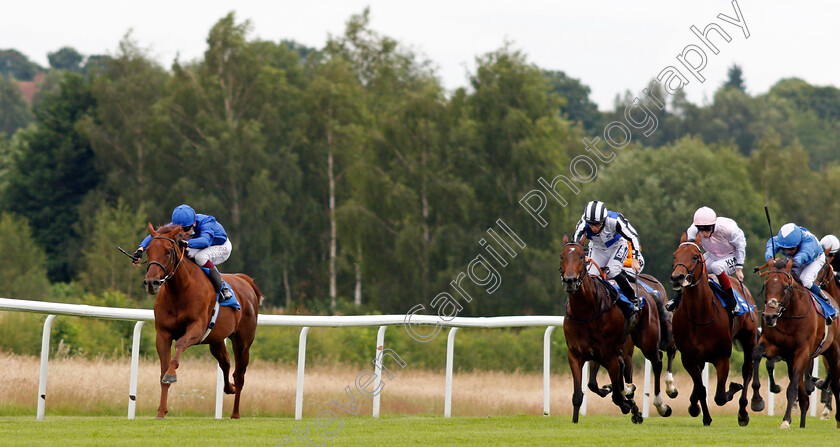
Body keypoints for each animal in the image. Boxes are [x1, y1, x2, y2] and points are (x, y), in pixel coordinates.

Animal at [142, 224, 262, 420]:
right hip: (216, 339)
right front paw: (161, 411)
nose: (151, 282)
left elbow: (180, 345)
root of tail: (245, 280)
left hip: (243, 341)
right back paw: (229, 388)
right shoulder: (163, 334)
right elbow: (162, 373)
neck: (180, 291)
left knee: (240, 374)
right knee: (225, 362)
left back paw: (235, 413)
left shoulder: (196, 329)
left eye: (167, 251)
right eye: (148, 251)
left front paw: (171, 375)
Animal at [560, 236, 672, 426]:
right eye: (562, 256)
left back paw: (661, 405)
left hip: (647, 340)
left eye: (582, 257)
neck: (586, 311)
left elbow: (618, 395)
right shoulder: (576, 354)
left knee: (657, 361)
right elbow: (581, 392)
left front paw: (629, 404)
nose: (570, 281)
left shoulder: (610, 355)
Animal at [668, 234, 760, 428]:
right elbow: (701, 389)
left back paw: (743, 412)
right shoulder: (688, 358)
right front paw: (704, 415)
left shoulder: (722, 357)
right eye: (674, 255)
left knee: (747, 370)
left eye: (695, 257)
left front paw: (734, 387)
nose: (677, 277)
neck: (700, 316)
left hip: (749, 338)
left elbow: (720, 396)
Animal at [752, 258, 840, 428]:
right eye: (765, 285)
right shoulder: (773, 346)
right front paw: (757, 400)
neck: (790, 316)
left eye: (786, 286)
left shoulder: (802, 352)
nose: (769, 316)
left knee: (835, 381)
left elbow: (792, 387)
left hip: (834, 352)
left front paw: (786, 420)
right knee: (804, 394)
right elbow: (758, 355)